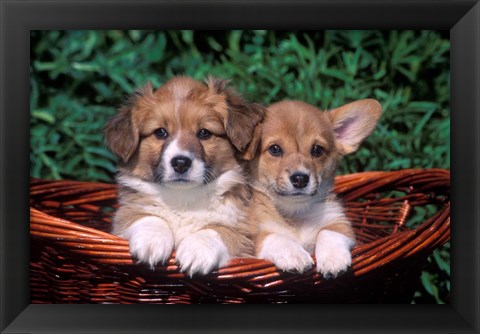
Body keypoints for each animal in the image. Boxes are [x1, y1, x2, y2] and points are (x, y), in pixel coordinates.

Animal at [104, 76, 266, 276]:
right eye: (160, 132)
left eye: (204, 133)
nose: (180, 163)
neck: (183, 198)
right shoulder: (125, 216)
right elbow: (148, 217)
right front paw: (152, 241)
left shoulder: (243, 231)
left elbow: (216, 229)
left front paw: (197, 251)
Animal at [246, 99, 380, 276]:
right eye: (275, 149)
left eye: (317, 150)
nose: (300, 178)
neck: (296, 213)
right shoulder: (256, 235)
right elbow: (276, 237)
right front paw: (294, 255)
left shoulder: (341, 224)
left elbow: (328, 232)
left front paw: (333, 259)